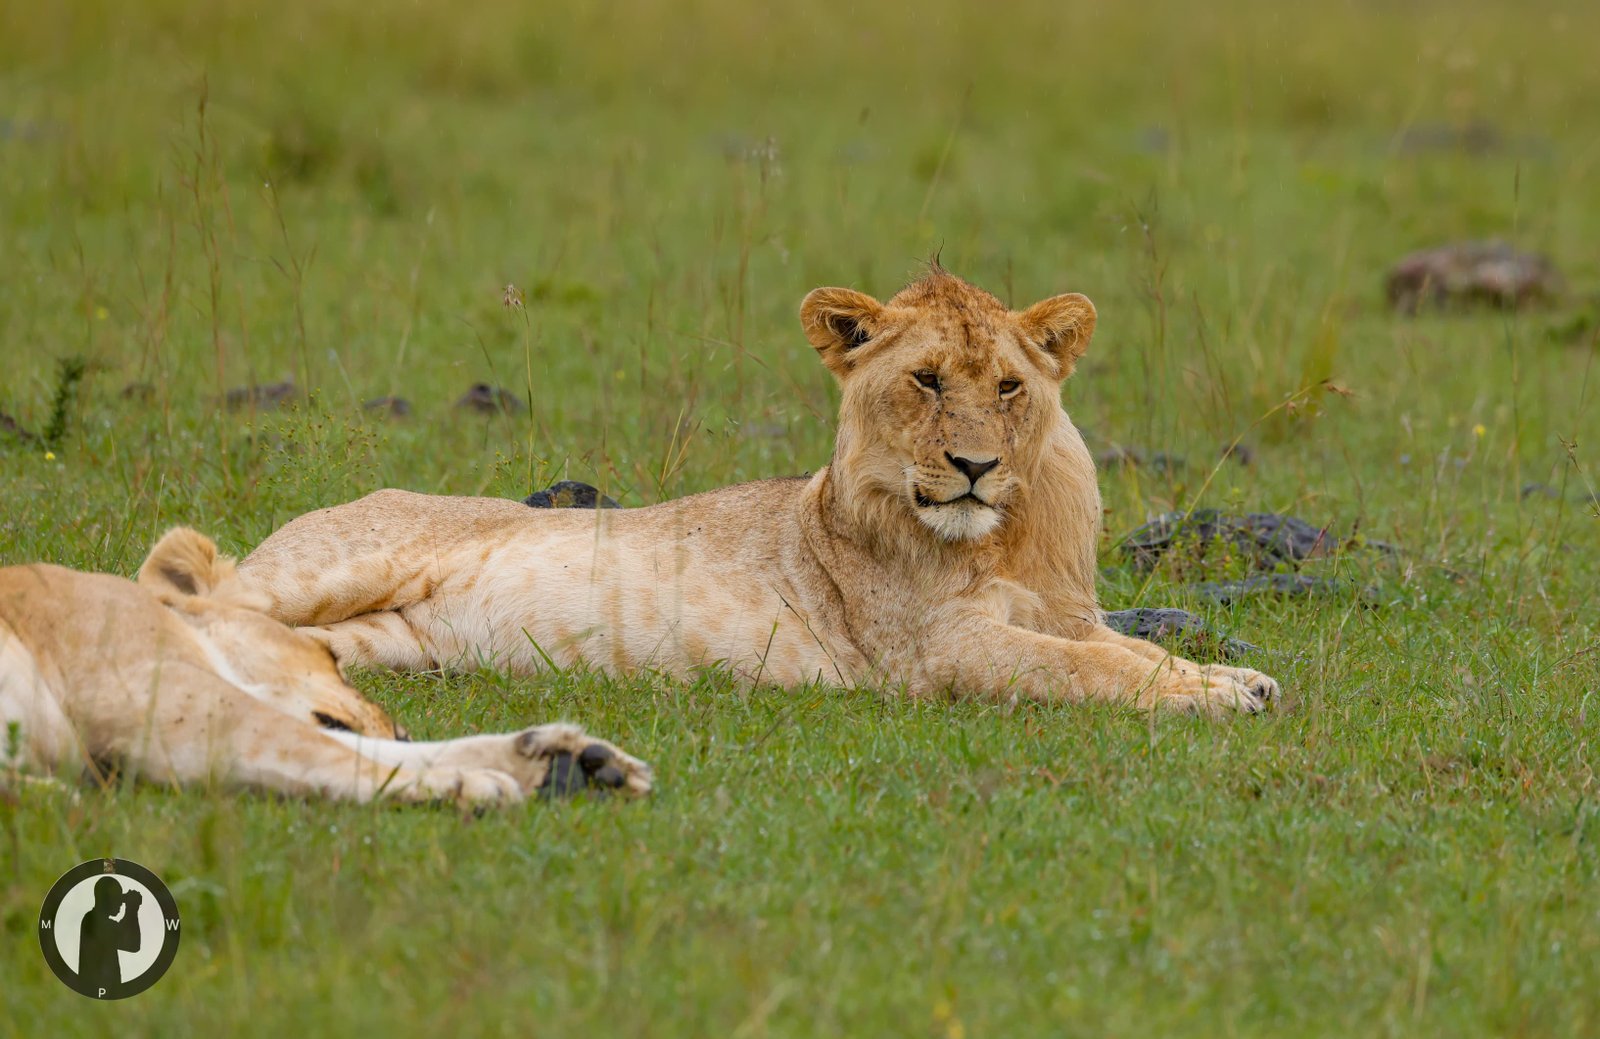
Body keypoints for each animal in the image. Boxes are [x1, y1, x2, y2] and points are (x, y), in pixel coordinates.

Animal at [0, 528, 652, 803]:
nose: (400, 727)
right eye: (329, 655)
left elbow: (367, 749)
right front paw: (464, 784)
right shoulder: (159, 700)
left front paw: (571, 758)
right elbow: (323, 751)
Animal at [236, 268, 1280, 715]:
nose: (976, 467)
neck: (1002, 534)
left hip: (383, 641)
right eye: (928, 380)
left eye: (1010, 387)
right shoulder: (936, 651)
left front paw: (1236, 677)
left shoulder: (1065, 609)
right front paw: (1212, 695)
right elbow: (1092, 670)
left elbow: (1125, 646)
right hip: (322, 568)